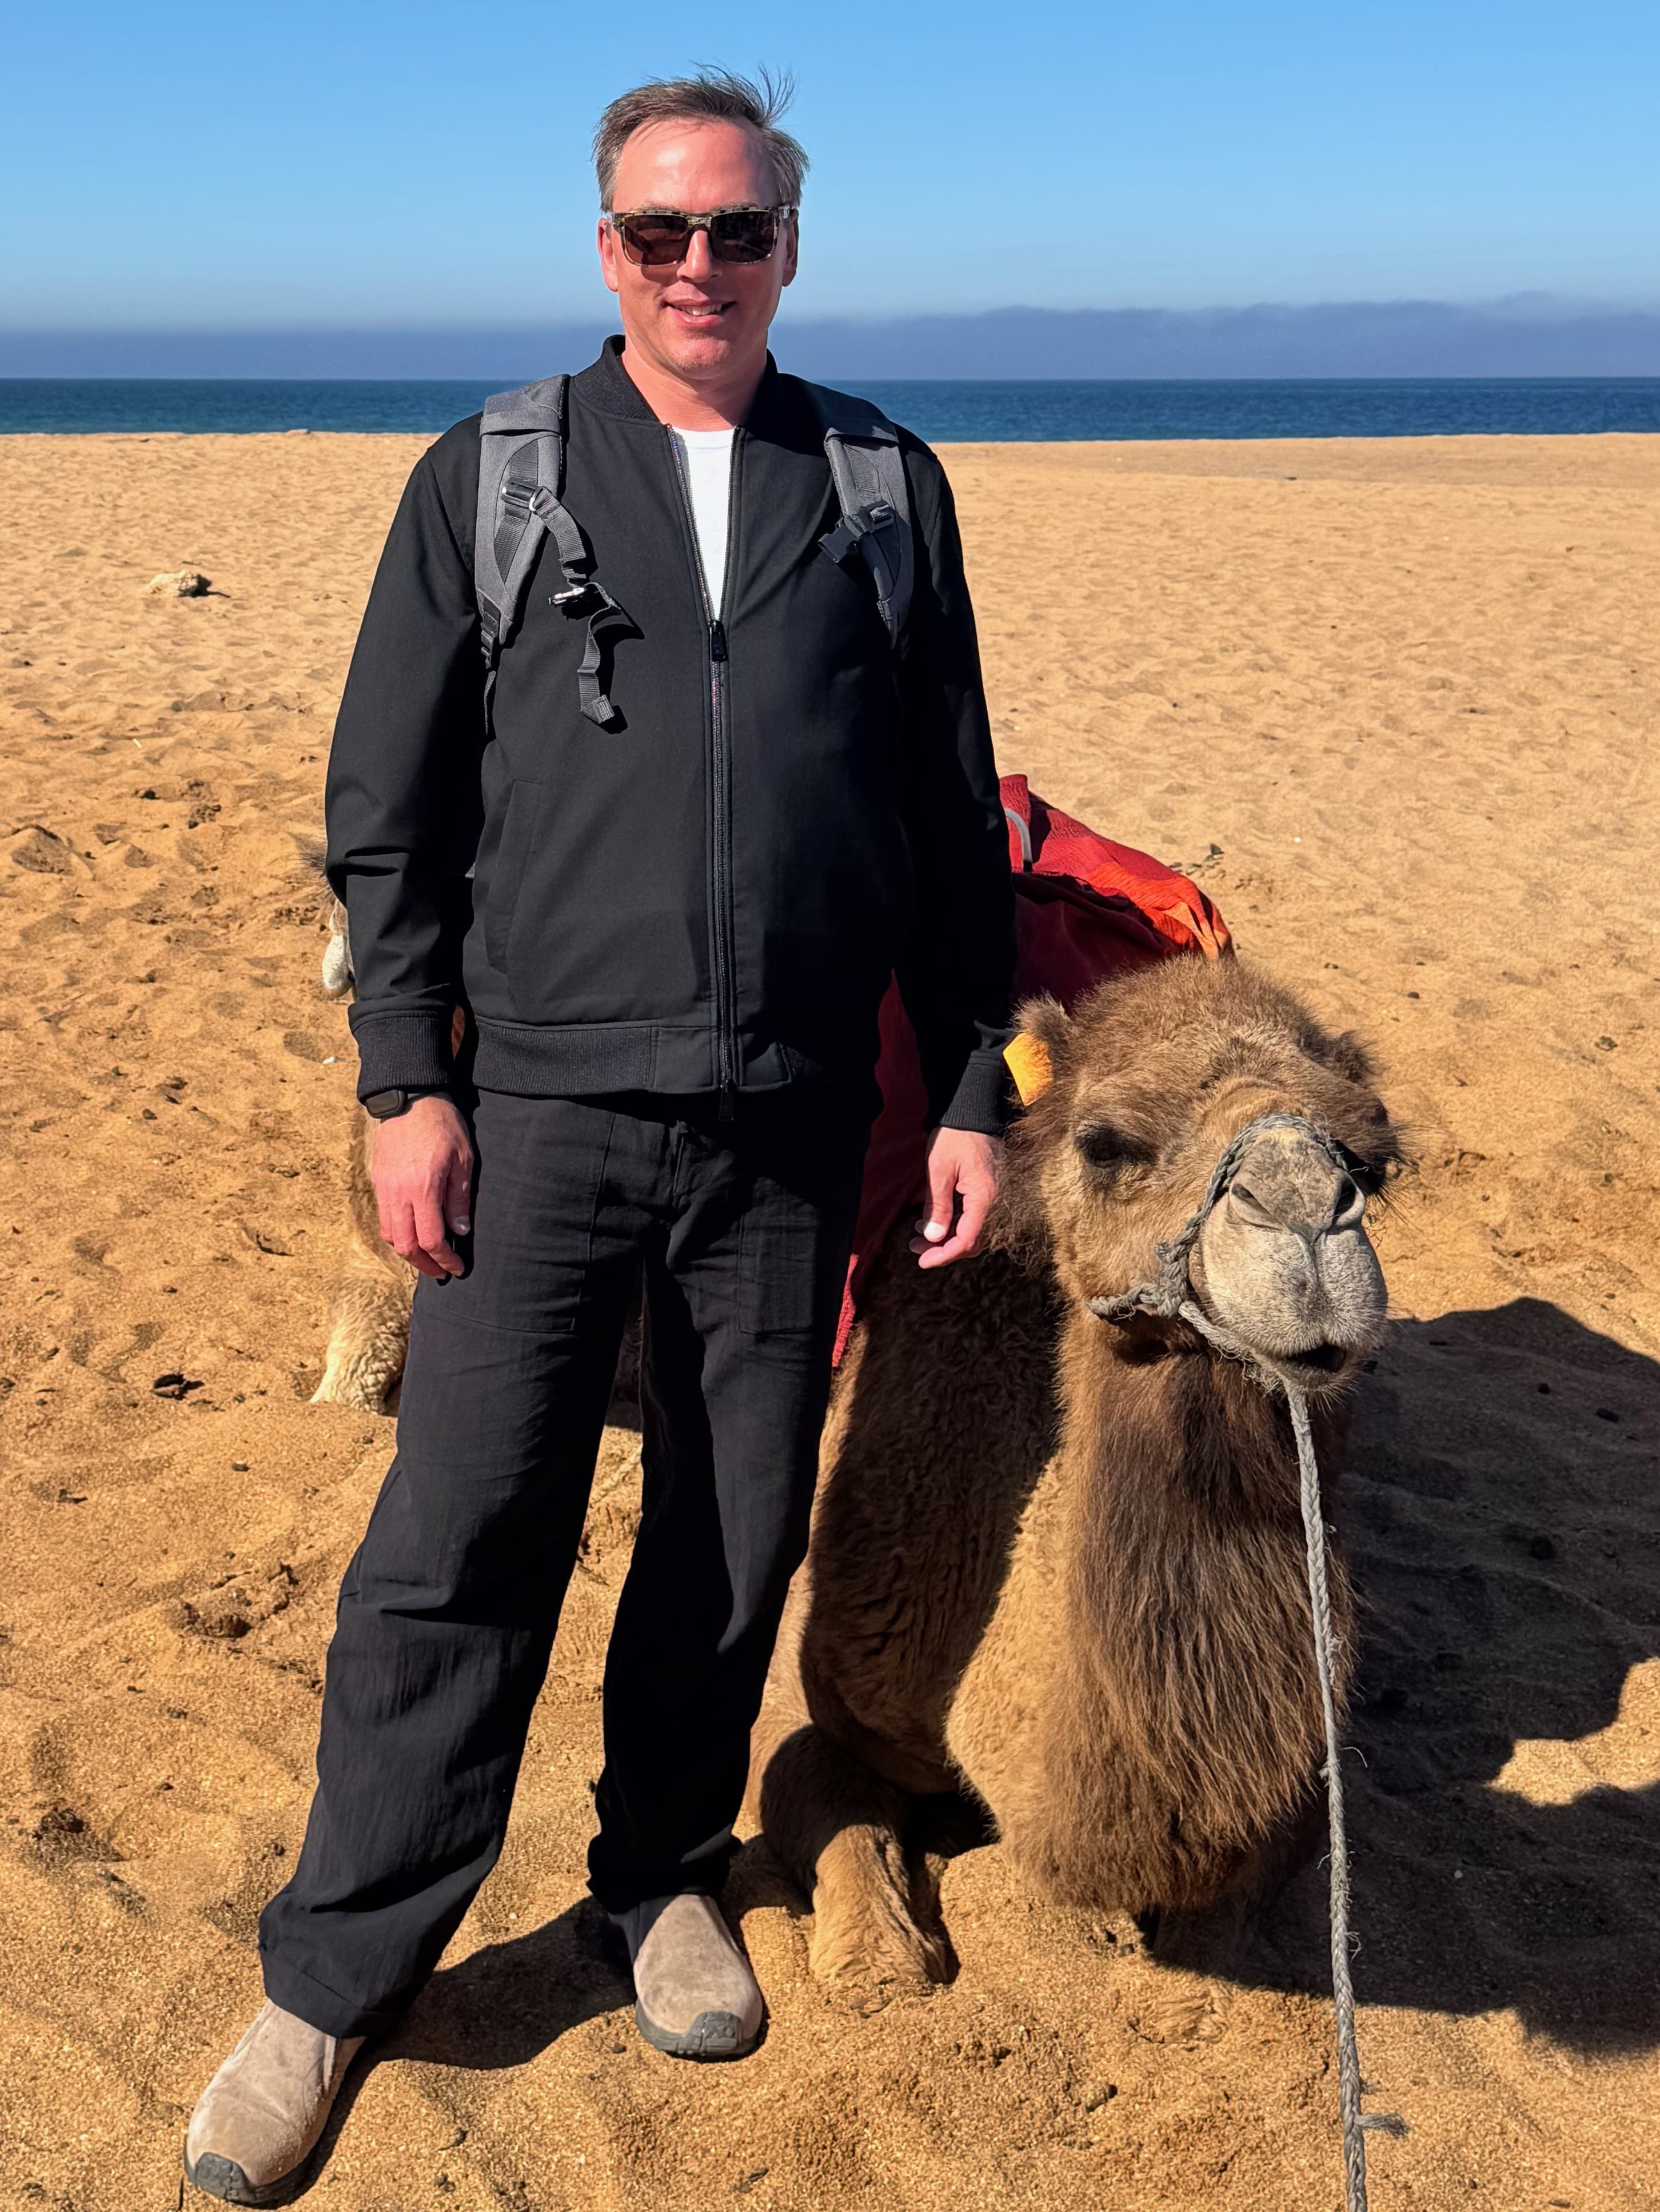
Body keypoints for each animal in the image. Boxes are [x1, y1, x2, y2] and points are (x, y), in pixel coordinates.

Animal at [748, 951, 1401, 2016]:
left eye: (1374, 1161)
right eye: (1103, 1145)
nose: (1306, 1233)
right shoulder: (836, 1686)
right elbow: (813, 1791)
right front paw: (880, 1965)